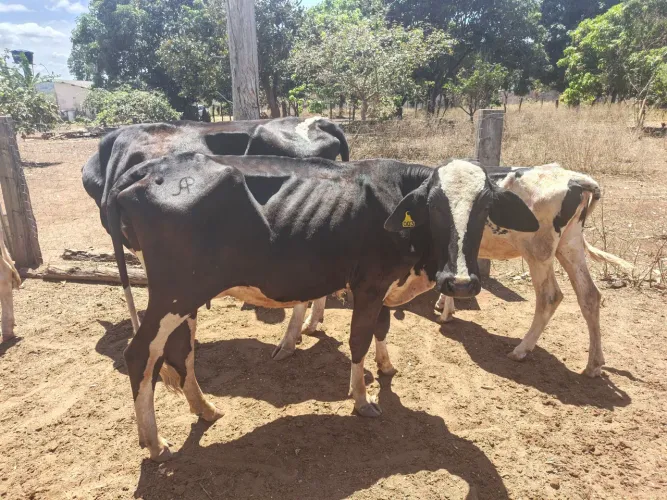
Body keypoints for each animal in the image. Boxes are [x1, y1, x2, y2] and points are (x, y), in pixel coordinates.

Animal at [105, 154, 539, 461]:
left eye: (485, 208)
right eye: (433, 207)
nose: (461, 282)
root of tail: (150, 167)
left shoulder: (383, 287)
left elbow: (382, 328)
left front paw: (385, 368)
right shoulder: (369, 284)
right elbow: (359, 339)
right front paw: (362, 399)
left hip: (186, 296)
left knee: (181, 352)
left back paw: (206, 410)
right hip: (174, 292)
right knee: (140, 354)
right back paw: (156, 444)